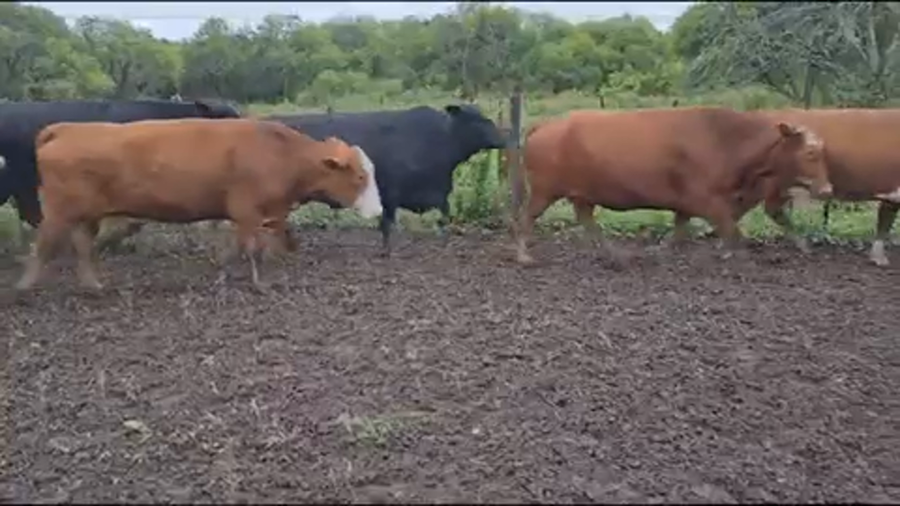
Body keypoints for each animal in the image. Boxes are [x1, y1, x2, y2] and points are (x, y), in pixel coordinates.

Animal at [14, 118, 382, 290]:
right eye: (360, 176)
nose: (378, 210)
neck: (281, 153)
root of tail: (65, 129)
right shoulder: (247, 210)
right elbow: (252, 247)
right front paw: (258, 283)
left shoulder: (261, 214)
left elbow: (244, 247)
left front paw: (223, 271)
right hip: (58, 212)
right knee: (43, 246)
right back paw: (23, 287)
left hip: (85, 214)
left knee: (81, 244)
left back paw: (93, 284)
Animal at [263, 104, 507, 256]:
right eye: (477, 120)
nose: (505, 137)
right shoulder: (391, 191)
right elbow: (388, 224)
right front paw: (387, 251)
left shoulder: (436, 193)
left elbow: (444, 216)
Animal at [512, 107, 834, 265]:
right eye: (810, 152)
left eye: (821, 150)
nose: (827, 190)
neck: (724, 139)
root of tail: (546, 125)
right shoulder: (706, 199)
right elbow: (734, 231)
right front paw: (738, 256)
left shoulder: (689, 202)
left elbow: (681, 230)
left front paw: (663, 251)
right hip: (544, 190)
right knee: (526, 217)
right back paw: (524, 255)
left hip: (582, 194)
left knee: (587, 220)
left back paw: (617, 256)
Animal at [758, 108, 900, 266]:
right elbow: (886, 221)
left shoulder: (892, 194)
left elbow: (885, 220)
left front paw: (877, 256)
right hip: (778, 184)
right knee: (771, 208)